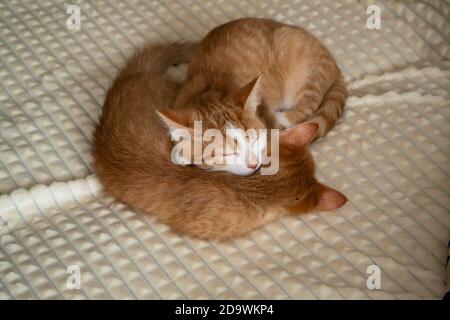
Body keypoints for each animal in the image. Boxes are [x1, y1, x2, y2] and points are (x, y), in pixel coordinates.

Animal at [156, 18, 348, 175]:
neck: (210, 91)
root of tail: (334, 65)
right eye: (227, 152)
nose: (253, 163)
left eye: (255, 139)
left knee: (309, 103)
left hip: (303, 70)